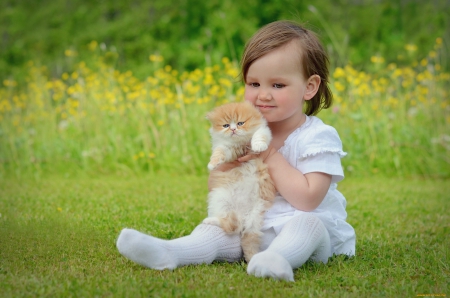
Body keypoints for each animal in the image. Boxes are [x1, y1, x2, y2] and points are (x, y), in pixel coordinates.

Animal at [203, 101, 274, 262]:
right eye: (225, 125)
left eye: (240, 123)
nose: (233, 129)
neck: (240, 144)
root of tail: (242, 216)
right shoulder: (226, 148)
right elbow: (219, 152)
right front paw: (212, 164)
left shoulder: (263, 130)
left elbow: (258, 136)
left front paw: (258, 146)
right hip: (220, 199)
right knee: (231, 226)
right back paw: (210, 221)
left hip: (255, 214)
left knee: (239, 230)